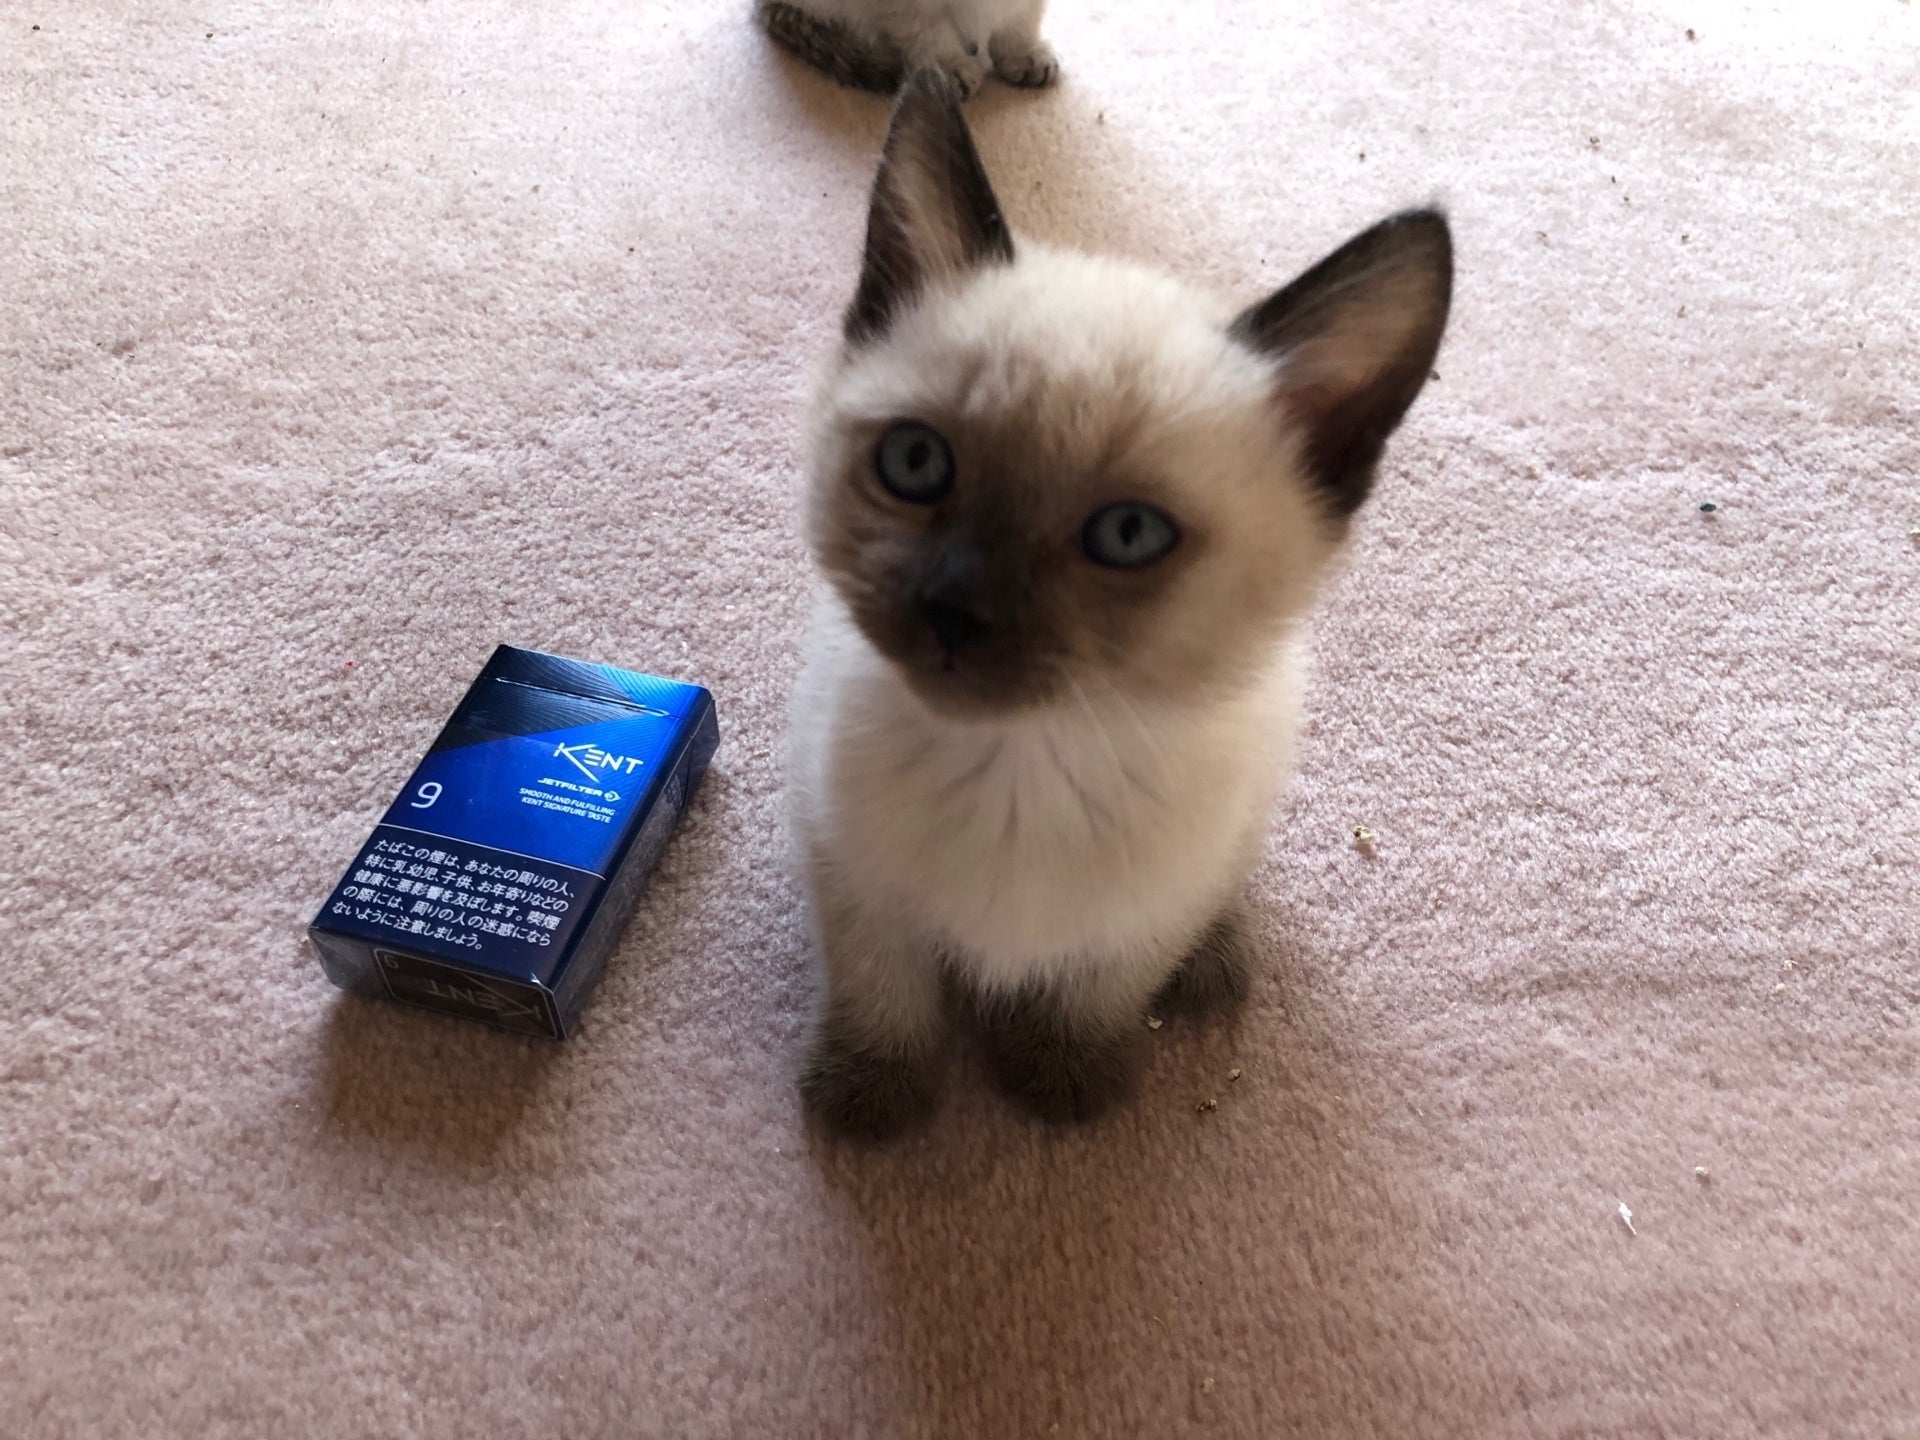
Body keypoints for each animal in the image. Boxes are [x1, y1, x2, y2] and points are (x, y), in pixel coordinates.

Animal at [785, 70, 1452, 1140]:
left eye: (1128, 536)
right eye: (916, 464)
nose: (953, 611)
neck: (1025, 765)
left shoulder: (1150, 909)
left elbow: (1103, 985)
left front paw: (1063, 1085)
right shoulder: (849, 869)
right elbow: (884, 987)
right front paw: (873, 1099)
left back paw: (1212, 968)